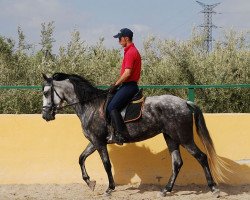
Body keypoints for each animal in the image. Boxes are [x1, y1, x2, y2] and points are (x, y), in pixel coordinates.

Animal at [41, 72, 227, 197]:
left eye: (45, 93)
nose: (45, 115)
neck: (90, 106)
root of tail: (185, 103)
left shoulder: (99, 142)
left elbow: (106, 164)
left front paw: (109, 189)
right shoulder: (94, 141)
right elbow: (81, 158)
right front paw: (90, 182)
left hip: (184, 137)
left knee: (201, 157)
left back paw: (214, 189)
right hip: (171, 137)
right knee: (177, 163)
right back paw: (165, 190)